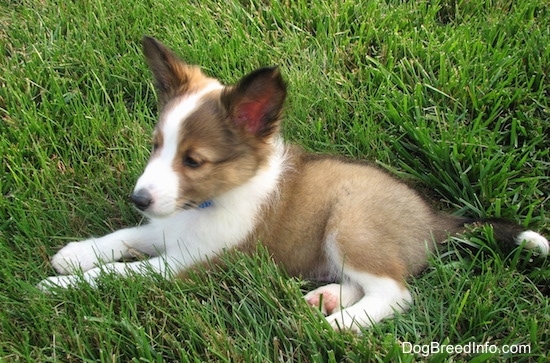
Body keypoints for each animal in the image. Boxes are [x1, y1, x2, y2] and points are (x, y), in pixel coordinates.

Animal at [38, 37, 550, 332]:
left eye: (193, 160)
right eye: (156, 144)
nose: (138, 198)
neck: (209, 204)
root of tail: (432, 218)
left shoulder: (187, 263)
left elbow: (118, 274)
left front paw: (57, 287)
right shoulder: (168, 228)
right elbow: (123, 237)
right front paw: (74, 255)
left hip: (351, 224)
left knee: (397, 293)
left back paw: (339, 325)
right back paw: (327, 299)